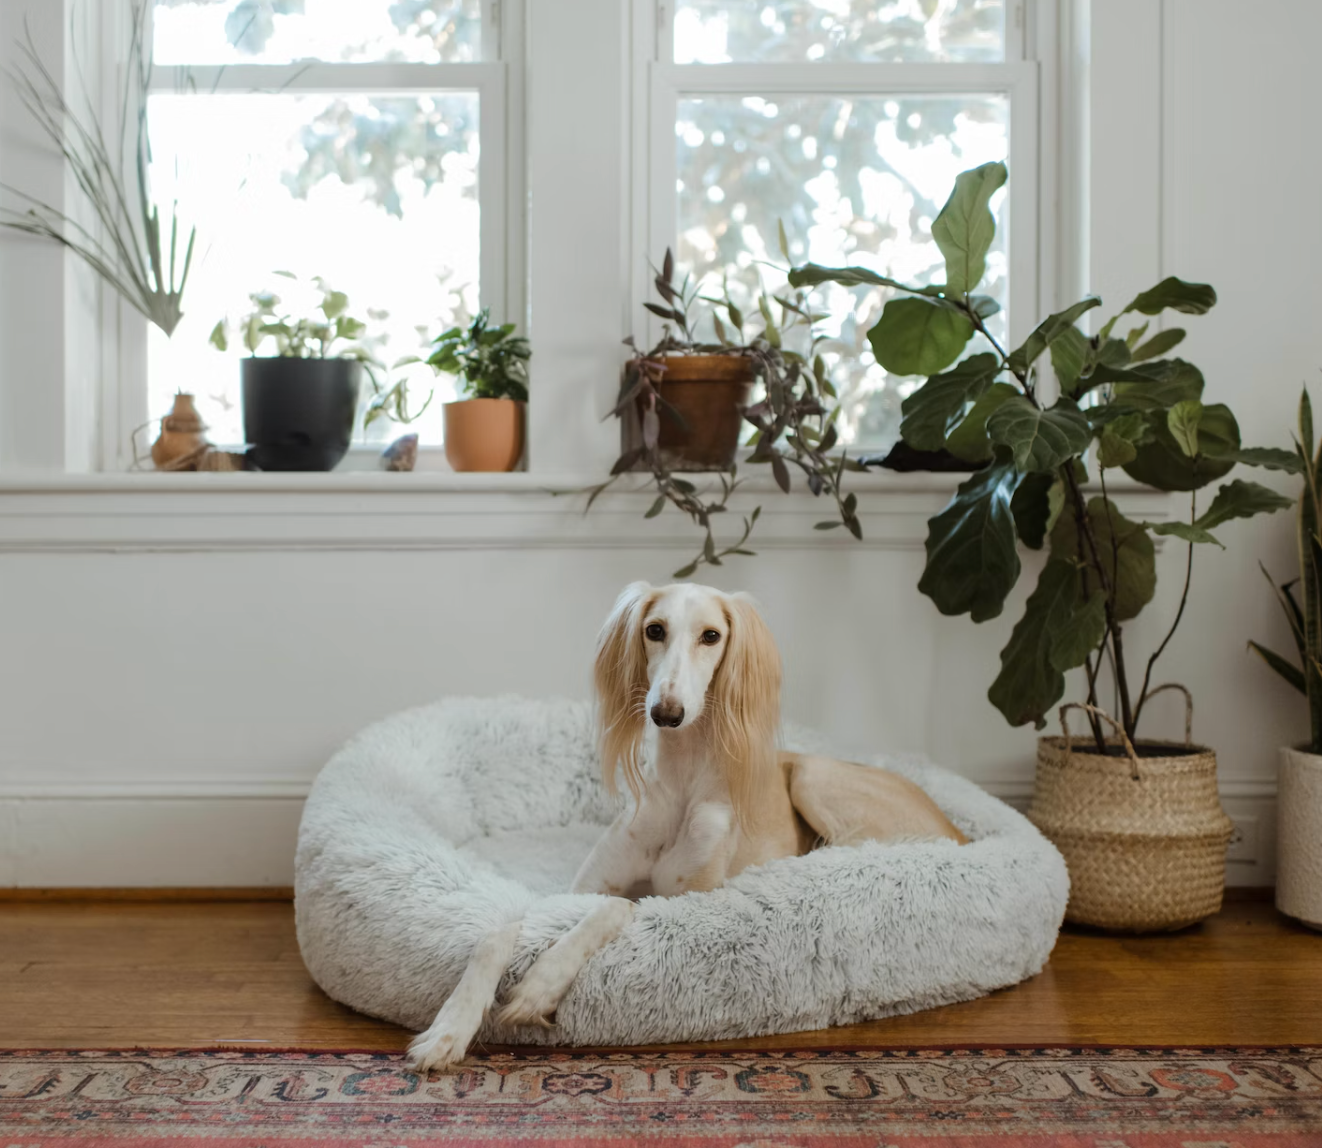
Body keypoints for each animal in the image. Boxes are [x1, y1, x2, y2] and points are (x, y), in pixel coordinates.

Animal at [407, 579, 967, 1073]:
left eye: (711, 636)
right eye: (654, 629)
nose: (666, 712)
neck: (681, 786)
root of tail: (960, 830)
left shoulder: (687, 902)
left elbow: (617, 908)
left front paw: (540, 985)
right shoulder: (577, 889)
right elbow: (499, 931)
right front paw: (449, 1029)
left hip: (814, 776)